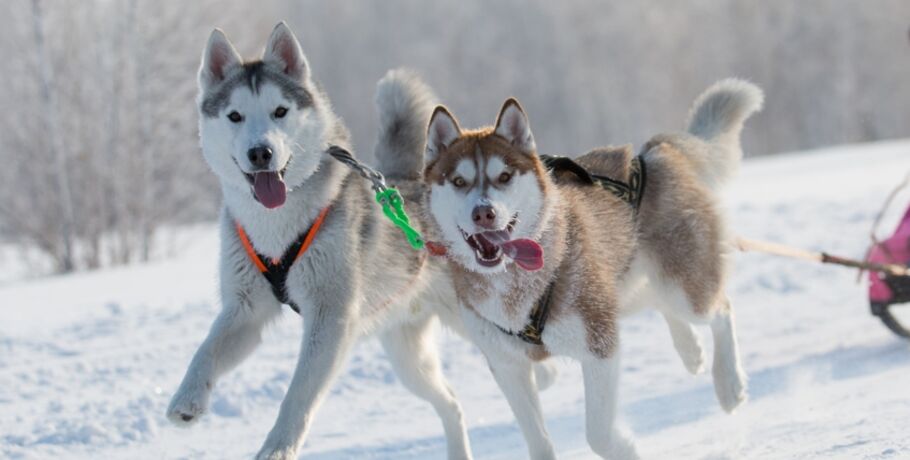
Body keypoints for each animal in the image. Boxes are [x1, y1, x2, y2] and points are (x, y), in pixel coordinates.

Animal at [167, 23, 478, 458]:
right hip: (409, 358)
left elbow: (298, 394)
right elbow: (206, 350)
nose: (260, 152)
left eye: (280, 111)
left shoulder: (330, 318)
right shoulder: (246, 310)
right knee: (451, 402)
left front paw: (278, 448)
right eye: (235, 116)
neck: (275, 226)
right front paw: (187, 399)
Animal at [424, 81, 764, 458]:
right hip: (624, 286)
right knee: (658, 301)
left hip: (682, 289)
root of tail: (652, 153)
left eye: (504, 176)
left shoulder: (600, 346)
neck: (514, 283)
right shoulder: (508, 367)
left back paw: (729, 383)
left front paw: (625, 447)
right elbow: (538, 442)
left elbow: (598, 433)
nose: (484, 213)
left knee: (720, 309)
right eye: (458, 181)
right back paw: (690, 351)